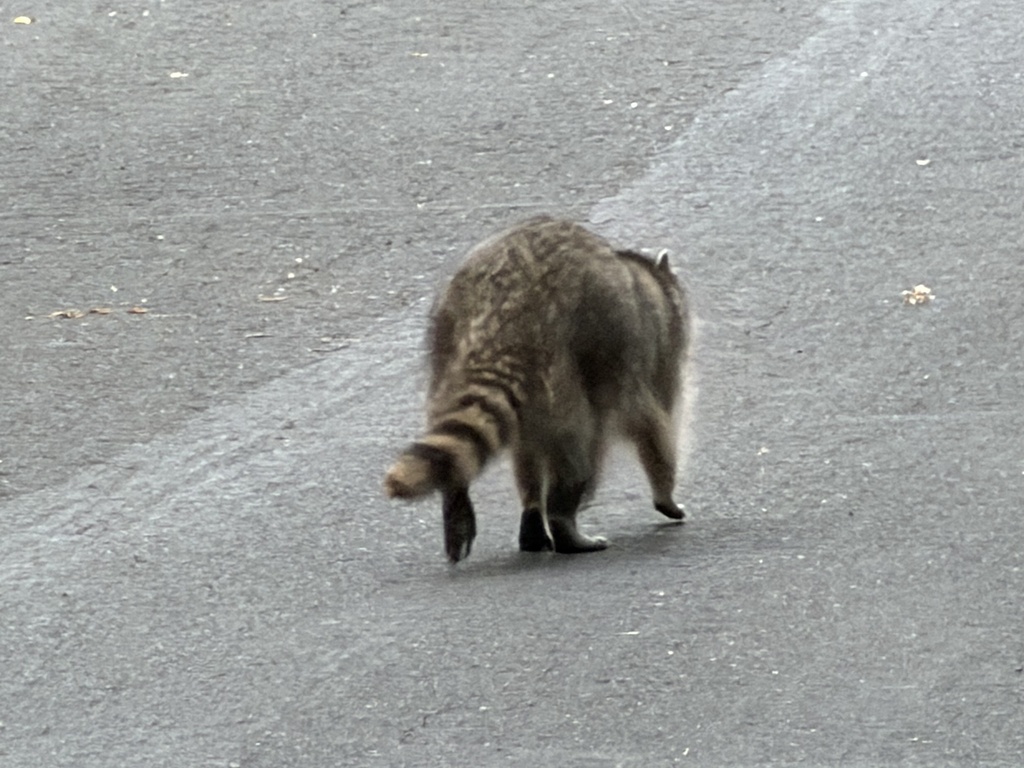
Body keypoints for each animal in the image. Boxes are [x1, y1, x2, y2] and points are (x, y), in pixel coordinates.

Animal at [384, 216, 690, 563]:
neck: (648, 280)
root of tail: (511, 307)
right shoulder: (646, 360)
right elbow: (655, 428)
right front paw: (666, 496)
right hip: (575, 360)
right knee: (579, 450)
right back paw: (564, 520)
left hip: (447, 340)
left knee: (517, 450)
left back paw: (493, 505)